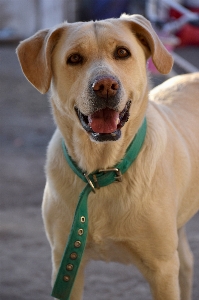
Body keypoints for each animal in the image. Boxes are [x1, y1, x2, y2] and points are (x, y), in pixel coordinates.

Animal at [16, 14, 199, 300]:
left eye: (122, 52)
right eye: (74, 58)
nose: (105, 86)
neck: (103, 171)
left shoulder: (162, 270)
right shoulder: (66, 265)